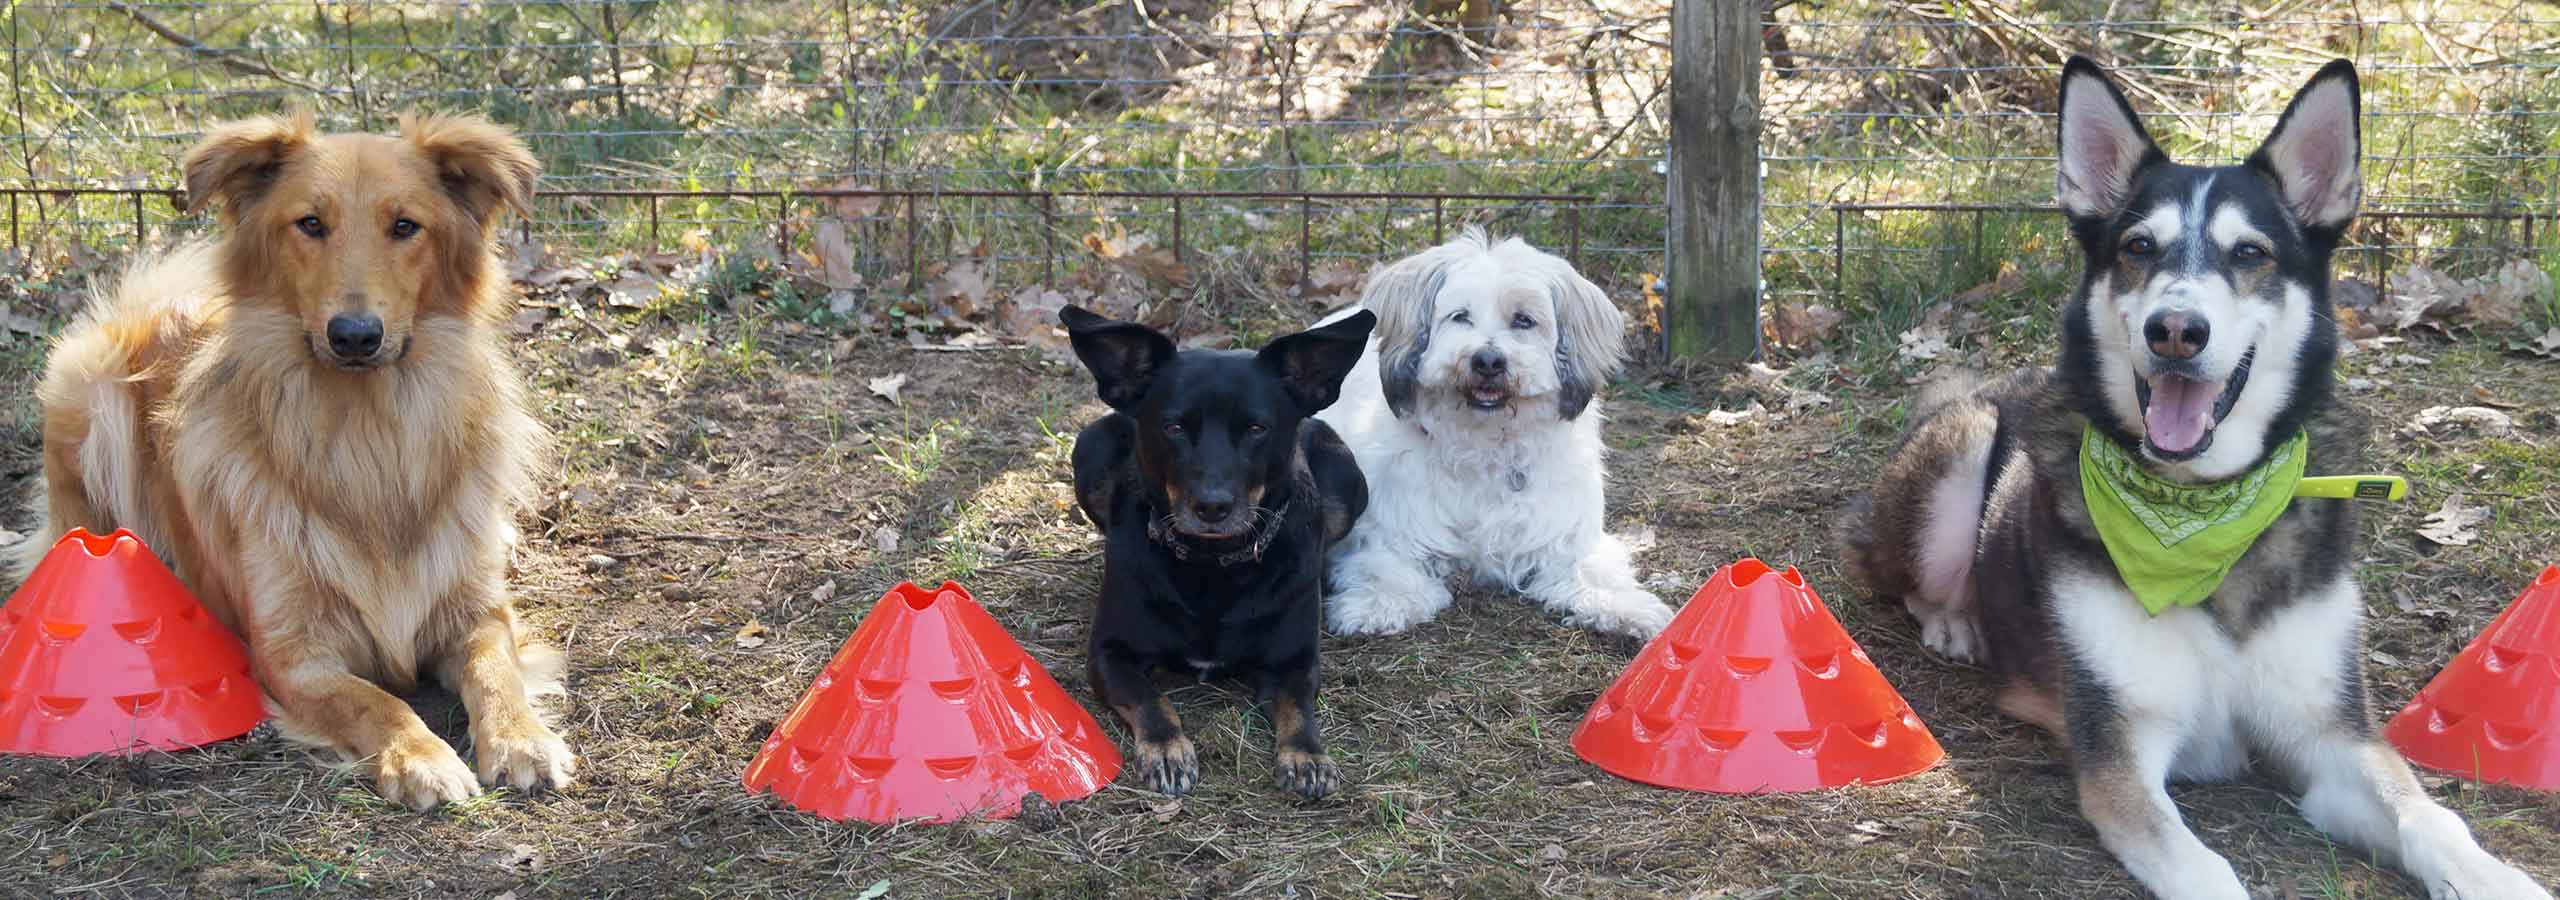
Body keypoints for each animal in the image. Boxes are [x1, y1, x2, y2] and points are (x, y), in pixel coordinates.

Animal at [12, 110, 573, 807]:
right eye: (310, 224)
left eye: (404, 226)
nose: (355, 336)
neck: (368, 432)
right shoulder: (292, 654)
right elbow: (375, 702)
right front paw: (419, 756)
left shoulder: (476, 611)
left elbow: (497, 668)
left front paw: (523, 739)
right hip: (89, 387)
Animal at [1059, 305, 1382, 797]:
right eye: (1173, 427)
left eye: (1256, 429)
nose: (1212, 506)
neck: (1212, 567)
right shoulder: (1110, 653)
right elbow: (1150, 698)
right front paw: (1167, 748)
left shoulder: (1294, 660)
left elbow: (1299, 709)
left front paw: (1307, 755)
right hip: (1092, 448)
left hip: (1349, 485)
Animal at [1310, 228, 1669, 644]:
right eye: (1460, 316)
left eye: (1524, 320)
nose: (1487, 361)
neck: (1484, 444)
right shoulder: (1391, 531)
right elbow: (1387, 568)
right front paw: (1379, 603)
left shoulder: (1567, 538)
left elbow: (1592, 571)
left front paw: (1626, 608)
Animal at [1853, 58, 2549, 900]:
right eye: (2138, 246)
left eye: (2250, 254)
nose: (2176, 330)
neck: (2203, 510)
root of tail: (1990, 382)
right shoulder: (2120, 750)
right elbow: (2204, 868)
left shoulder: (2331, 737)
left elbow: (2427, 815)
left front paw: (2495, 877)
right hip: (1963, 446)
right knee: (1907, 577)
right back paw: (1957, 620)